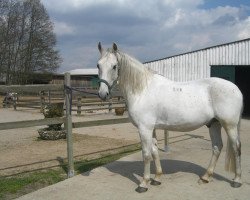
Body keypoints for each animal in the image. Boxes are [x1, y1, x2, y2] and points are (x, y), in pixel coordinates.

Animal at [96, 42, 243, 192]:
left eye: (114, 66)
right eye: (98, 65)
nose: (103, 94)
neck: (142, 90)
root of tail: (236, 88)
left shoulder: (144, 128)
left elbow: (146, 154)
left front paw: (143, 183)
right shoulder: (151, 128)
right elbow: (155, 151)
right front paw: (157, 178)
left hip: (229, 125)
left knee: (236, 147)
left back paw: (237, 180)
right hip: (213, 124)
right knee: (217, 147)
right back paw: (205, 177)